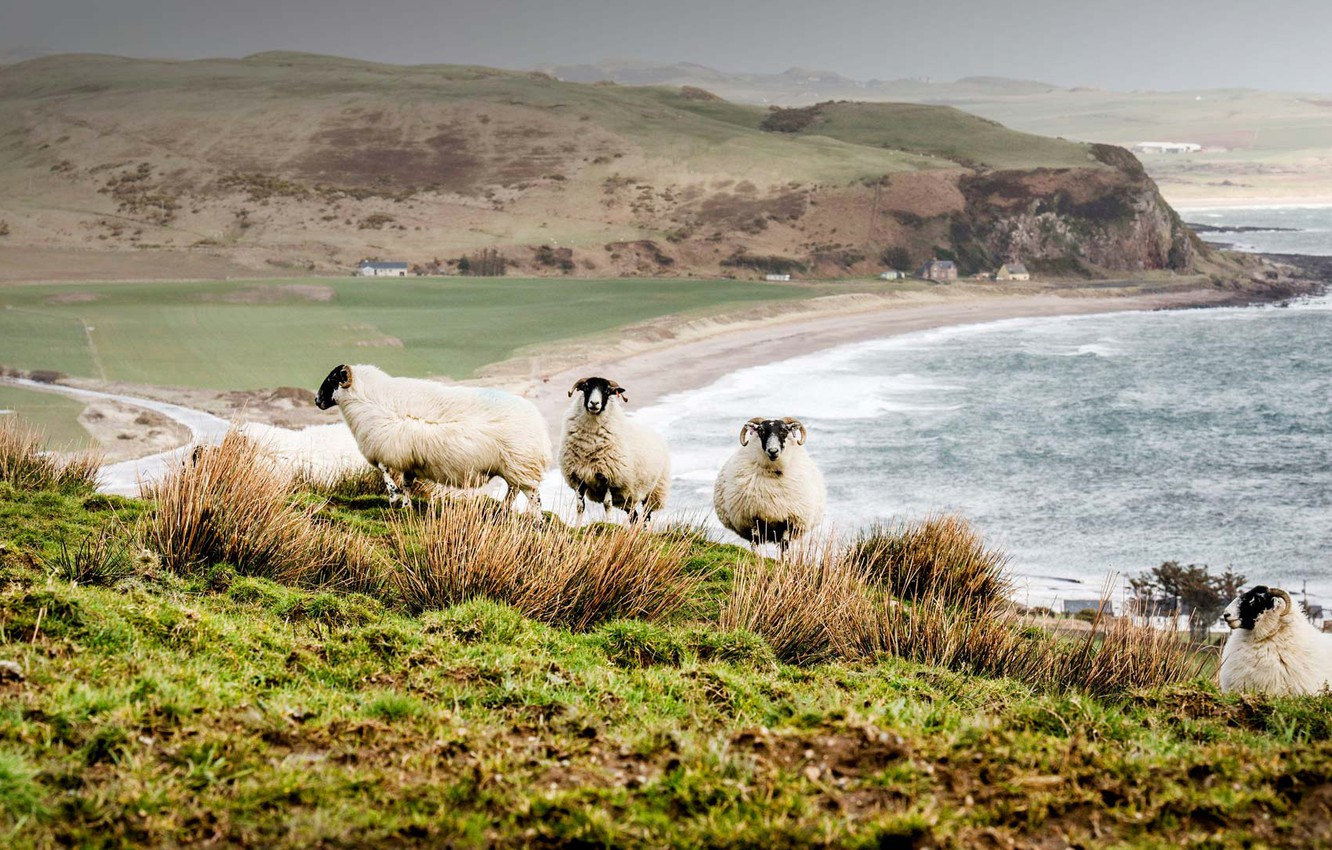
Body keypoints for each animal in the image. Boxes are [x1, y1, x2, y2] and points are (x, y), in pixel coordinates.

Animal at [314, 362, 548, 511]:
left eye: (332, 379)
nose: (317, 400)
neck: (365, 398)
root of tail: (538, 423)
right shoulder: (407, 456)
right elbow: (407, 483)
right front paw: (405, 505)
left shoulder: (386, 447)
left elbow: (384, 471)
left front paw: (393, 496)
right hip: (512, 467)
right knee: (513, 491)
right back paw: (503, 511)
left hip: (520, 464)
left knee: (533, 496)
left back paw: (536, 523)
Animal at [559, 378, 671, 527]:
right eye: (586, 387)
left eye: (607, 391)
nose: (594, 403)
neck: (589, 447)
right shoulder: (578, 477)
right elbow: (580, 506)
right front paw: (577, 527)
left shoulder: (609, 478)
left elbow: (607, 505)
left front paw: (608, 524)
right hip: (626, 498)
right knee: (634, 516)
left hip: (653, 492)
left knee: (646, 516)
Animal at [719, 418, 820, 554]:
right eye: (761, 431)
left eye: (784, 430)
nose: (773, 451)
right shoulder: (752, 518)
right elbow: (755, 542)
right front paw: (756, 557)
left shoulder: (790, 520)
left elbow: (784, 545)